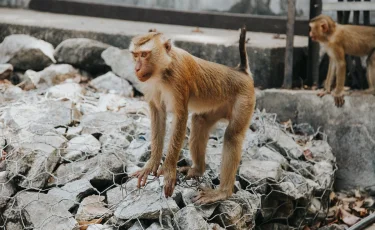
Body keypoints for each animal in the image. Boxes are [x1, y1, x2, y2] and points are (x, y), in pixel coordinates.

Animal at [129, 27, 256, 204]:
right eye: (135, 55)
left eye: (144, 54)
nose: (136, 68)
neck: (164, 69)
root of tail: (241, 72)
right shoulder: (151, 84)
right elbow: (158, 113)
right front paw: (151, 164)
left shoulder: (179, 78)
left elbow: (180, 116)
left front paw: (168, 170)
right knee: (199, 121)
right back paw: (198, 170)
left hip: (245, 99)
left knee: (232, 136)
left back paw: (222, 192)